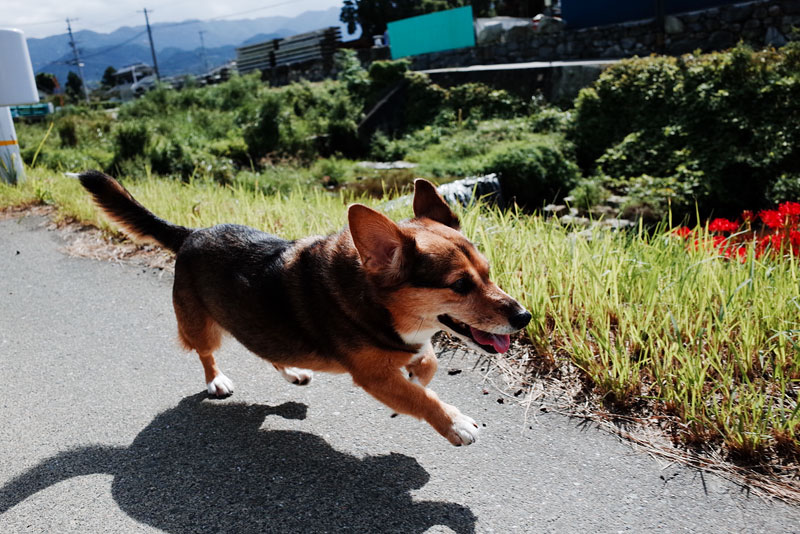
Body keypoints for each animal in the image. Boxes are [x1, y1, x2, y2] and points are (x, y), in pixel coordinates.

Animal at [78, 170, 532, 446]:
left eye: (489, 273)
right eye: (460, 285)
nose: (524, 317)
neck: (379, 303)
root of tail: (190, 233)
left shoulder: (412, 347)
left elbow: (427, 365)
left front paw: (418, 374)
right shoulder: (372, 376)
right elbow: (422, 399)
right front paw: (453, 420)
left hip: (264, 324)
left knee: (270, 349)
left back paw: (295, 371)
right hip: (201, 326)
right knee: (207, 353)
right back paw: (216, 381)